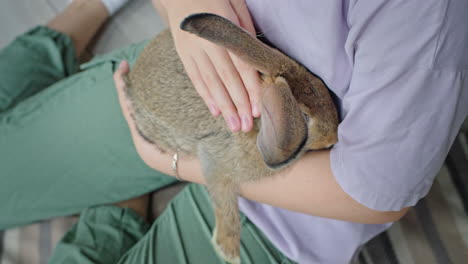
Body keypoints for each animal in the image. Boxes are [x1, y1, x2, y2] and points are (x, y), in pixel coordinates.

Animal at [124, 13, 336, 264]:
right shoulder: (215, 162)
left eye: (319, 84)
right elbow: (223, 199)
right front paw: (229, 251)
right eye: (303, 118)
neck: (257, 122)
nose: (334, 136)